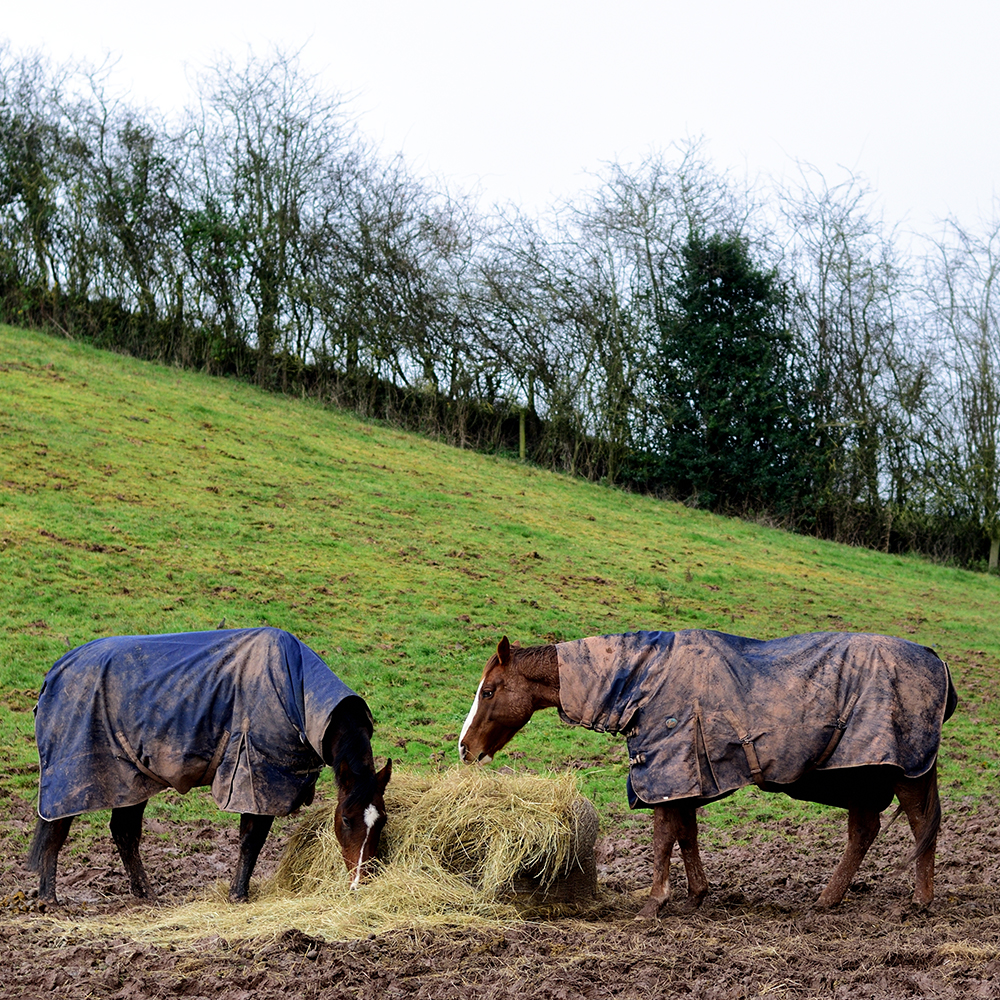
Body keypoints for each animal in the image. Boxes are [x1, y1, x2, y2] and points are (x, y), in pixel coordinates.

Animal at [458, 628, 956, 916]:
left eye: (489, 690)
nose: (464, 749)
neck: (641, 678)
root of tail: (936, 660)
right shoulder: (685, 774)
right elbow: (685, 833)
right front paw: (695, 895)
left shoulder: (667, 769)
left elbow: (664, 835)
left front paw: (655, 902)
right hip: (860, 774)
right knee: (865, 831)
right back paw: (828, 899)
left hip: (905, 771)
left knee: (920, 826)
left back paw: (920, 901)